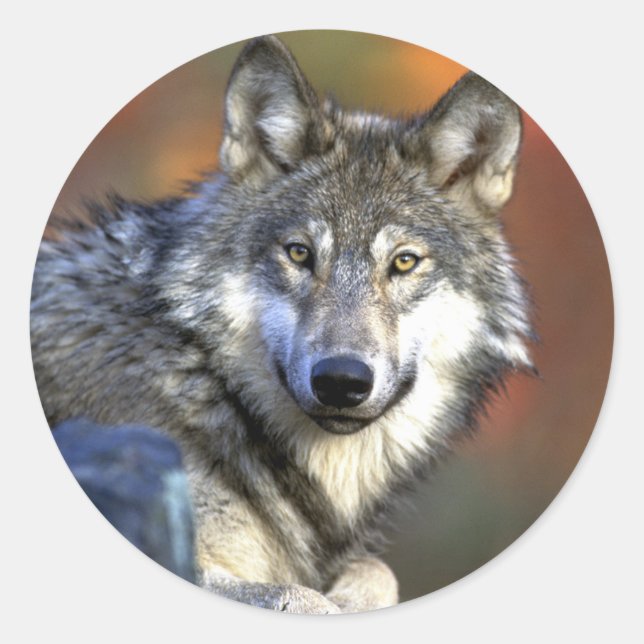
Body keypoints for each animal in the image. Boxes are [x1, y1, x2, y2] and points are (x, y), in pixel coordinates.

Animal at [31, 35, 533, 613]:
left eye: (404, 262)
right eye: (299, 253)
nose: (341, 381)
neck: (203, 381)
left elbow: (377, 571)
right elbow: (300, 594)